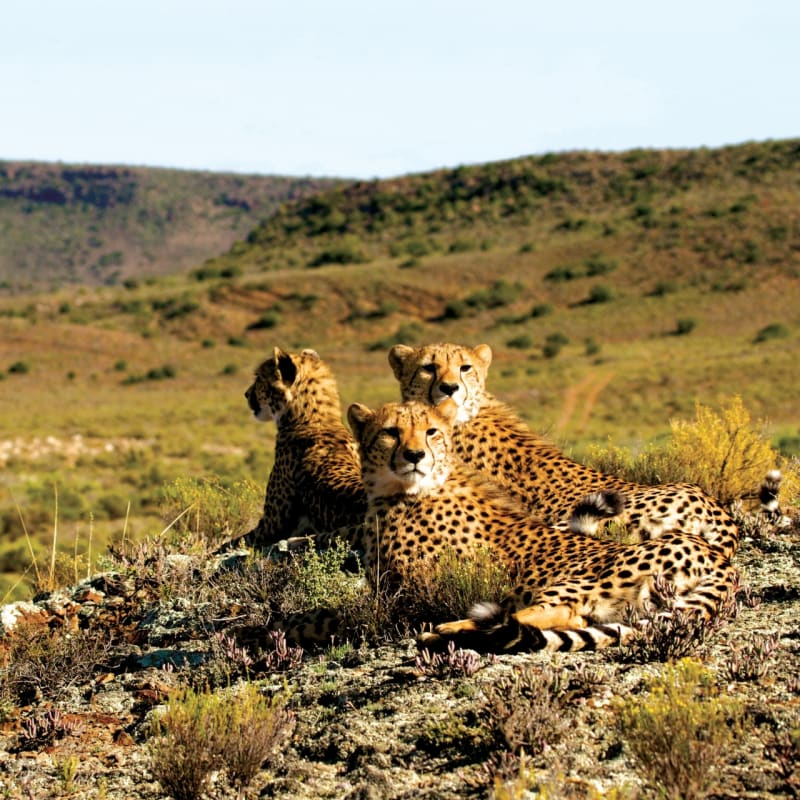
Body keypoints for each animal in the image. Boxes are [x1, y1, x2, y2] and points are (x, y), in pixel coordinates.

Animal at [233, 347, 367, 552]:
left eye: (259, 378)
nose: (246, 394)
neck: (313, 419)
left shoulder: (271, 526)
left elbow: (230, 543)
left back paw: (293, 542)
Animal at [347, 398, 739, 653]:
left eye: (431, 431)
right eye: (390, 432)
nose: (415, 455)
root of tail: (722, 562)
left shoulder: (411, 591)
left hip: (584, 576)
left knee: (553, 614)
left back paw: (447, 631)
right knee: (575, 621)